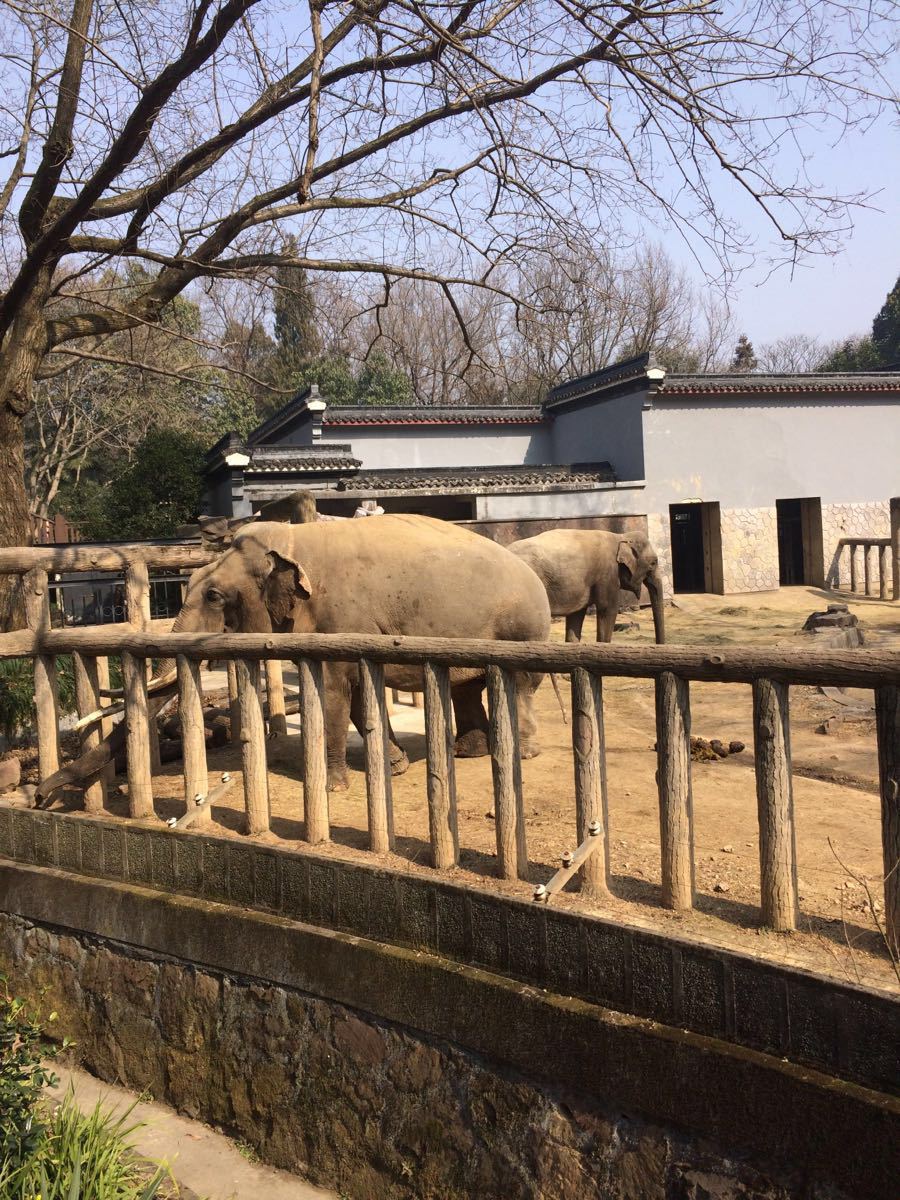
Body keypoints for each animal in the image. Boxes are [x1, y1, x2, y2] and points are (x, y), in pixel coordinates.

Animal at [169, 513, 549, 787]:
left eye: (213, 596)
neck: (294, 539)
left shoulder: (342, 619)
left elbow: (336, 691)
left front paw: (333, 786)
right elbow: (359, 695)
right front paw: (395, 767)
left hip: (521, 629)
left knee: (520, 686)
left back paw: (524, 753)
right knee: (466, 688)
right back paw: (467, 752)